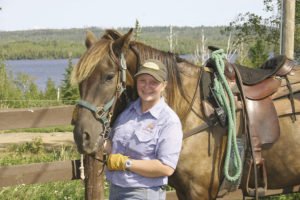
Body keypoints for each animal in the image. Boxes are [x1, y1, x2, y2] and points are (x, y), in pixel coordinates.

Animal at [71, 28, 300, 200]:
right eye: (81, 80)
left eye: (109, 76)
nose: (82, 136)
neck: (188, 113)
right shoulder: (183, 191)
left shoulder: (199, 192)